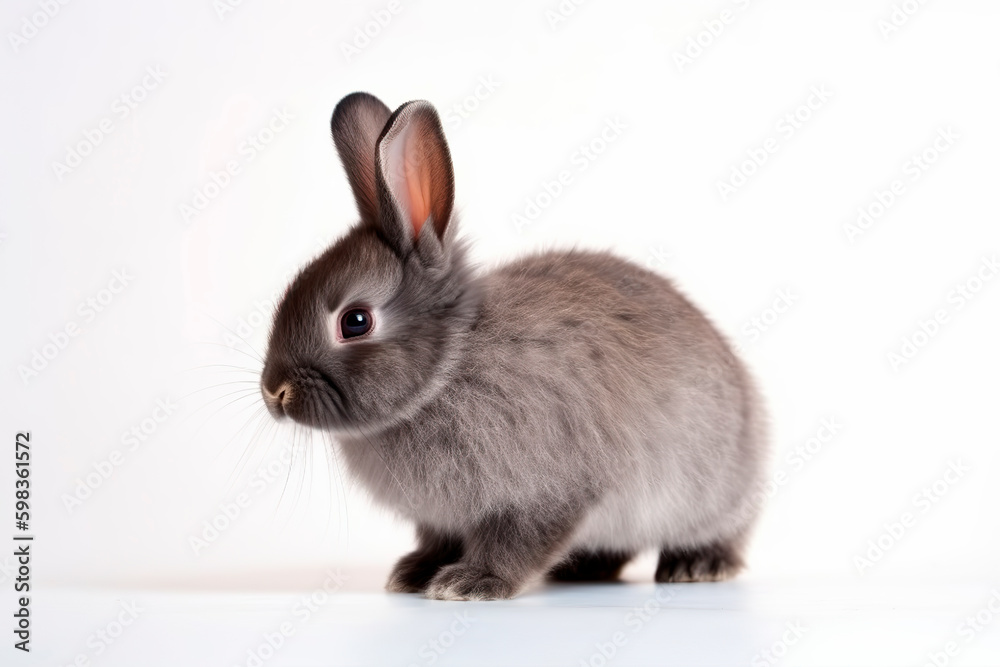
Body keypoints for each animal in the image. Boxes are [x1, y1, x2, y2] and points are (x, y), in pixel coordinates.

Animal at [259, 91, 768, 601]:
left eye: (355, 321)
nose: (273, 392)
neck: (446, 371)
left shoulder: (549, 492)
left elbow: (517, 542)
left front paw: (471, 583)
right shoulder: (440, 520)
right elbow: (437, 542)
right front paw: (412, 575)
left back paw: (698, 565)